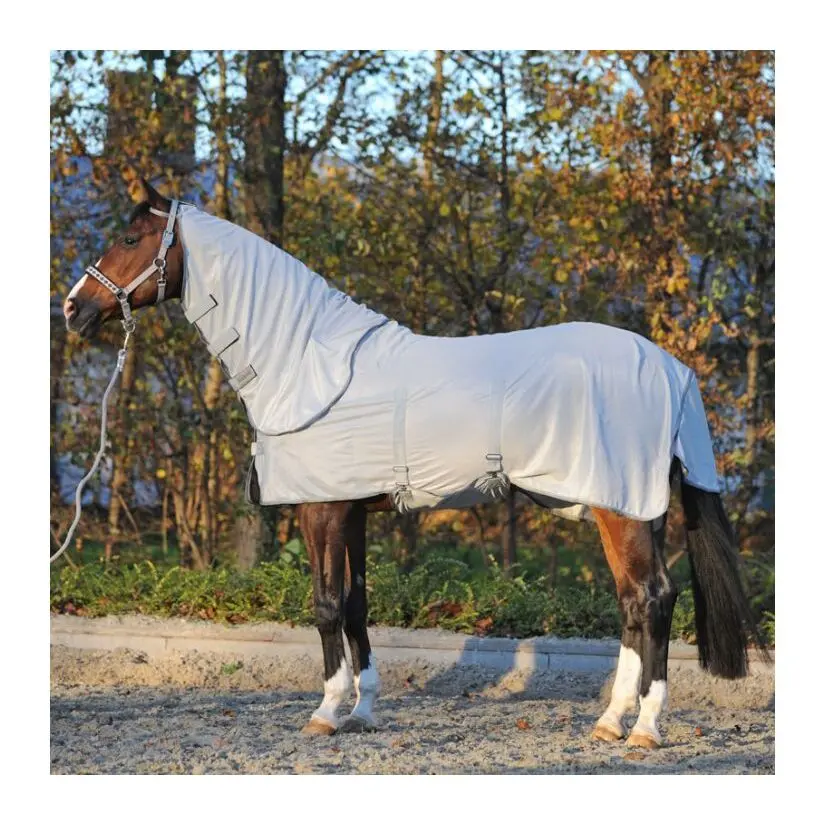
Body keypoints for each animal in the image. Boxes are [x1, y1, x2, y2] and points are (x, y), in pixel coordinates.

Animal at [62, 178, 764, 749]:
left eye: (130, 237)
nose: (73, 308)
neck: (305, 363)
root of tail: (670, 368)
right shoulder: (353, 511)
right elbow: (356, 604)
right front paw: (364, 709)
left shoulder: (322, 509)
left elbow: (325, 603)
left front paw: (325, 712)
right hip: (624, 508)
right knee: (632, 603)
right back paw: (610, 721)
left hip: (622, 508)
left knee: (653, 599)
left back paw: (644, 727)